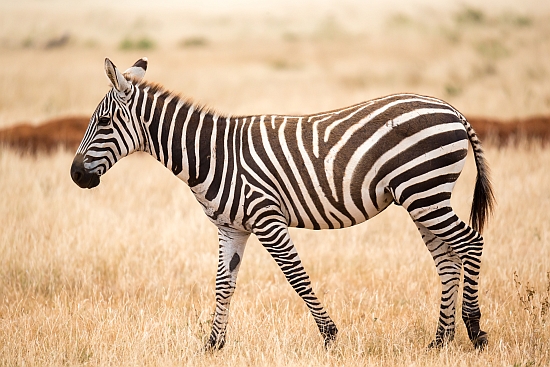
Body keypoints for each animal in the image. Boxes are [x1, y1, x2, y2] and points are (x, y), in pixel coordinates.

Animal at [70, 57, 496, 350]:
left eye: (103, 123)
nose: (75, 175)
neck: (211, 154)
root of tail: (451, 109)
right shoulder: (232, 227)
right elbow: (223, 283)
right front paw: (213, 344)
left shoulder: (266, 219)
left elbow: (296, 277)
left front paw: (330, 336)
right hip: (423, 198)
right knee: (447, 259)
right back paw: (440, 341)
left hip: (425, 190)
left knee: (471, 243)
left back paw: (475, 330)